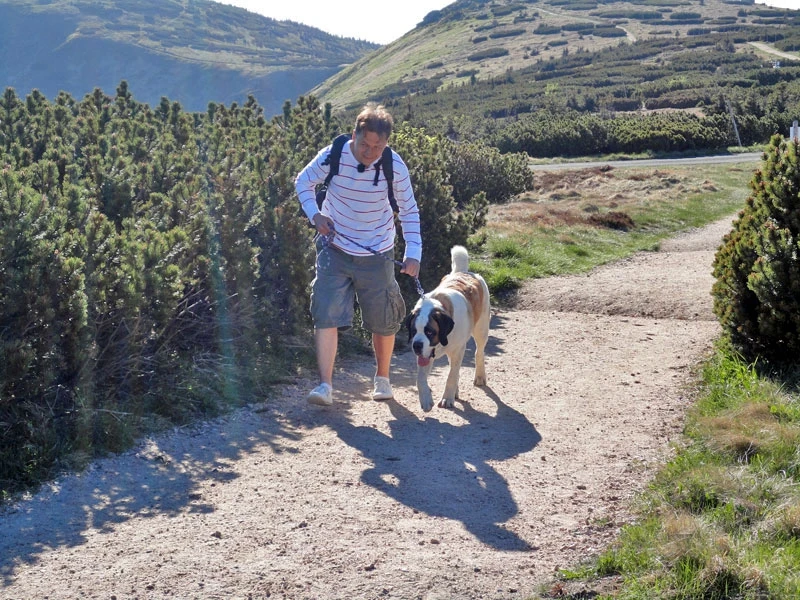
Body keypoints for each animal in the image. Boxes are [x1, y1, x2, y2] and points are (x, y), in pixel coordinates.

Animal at [404, 245, 490, 412]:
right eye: (414, 331)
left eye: (430, 332)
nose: (416, 345)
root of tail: (464, 272)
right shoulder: (425, 355)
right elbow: (420, 378)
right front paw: (426, 399)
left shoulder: (458, 350)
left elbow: (452, 375)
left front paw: (447, 398)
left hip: (481, 330)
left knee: (479, 353)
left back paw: (480, 376)